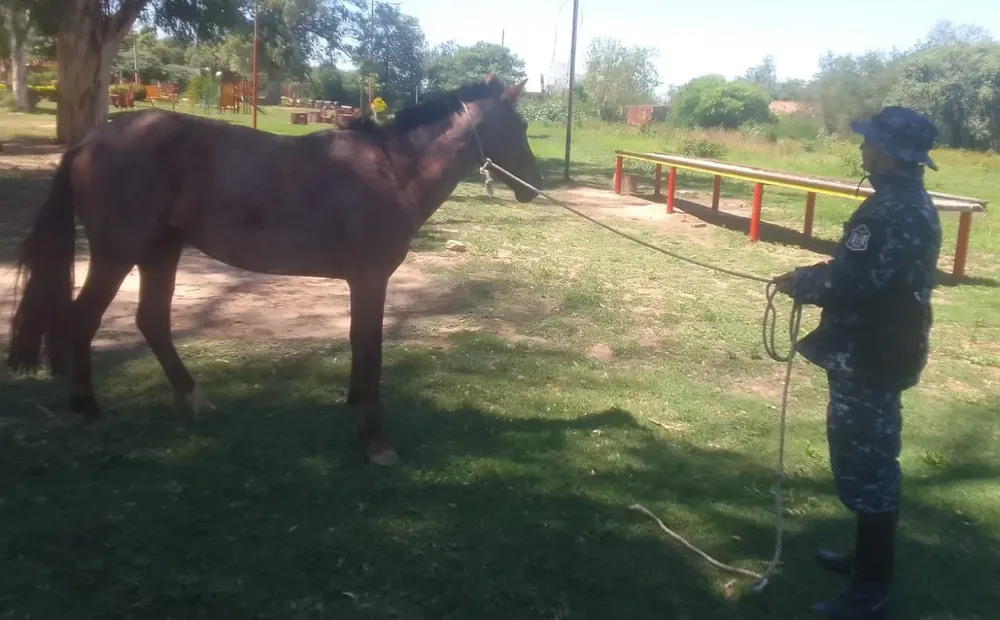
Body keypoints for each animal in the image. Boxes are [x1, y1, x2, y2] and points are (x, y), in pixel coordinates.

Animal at [4, 74, 542, 467]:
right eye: (519, 129)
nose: (534, 186)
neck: (392, 170)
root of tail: (90, 139)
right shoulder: (371, 279)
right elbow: (370, 348)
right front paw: (375, 439)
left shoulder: (361, 282)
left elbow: (357, 342)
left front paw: (353, 405)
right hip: (119, 253)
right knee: (84, 318)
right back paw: (87, 406)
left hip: (162, 251)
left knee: (151, 320)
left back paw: (193, 399)